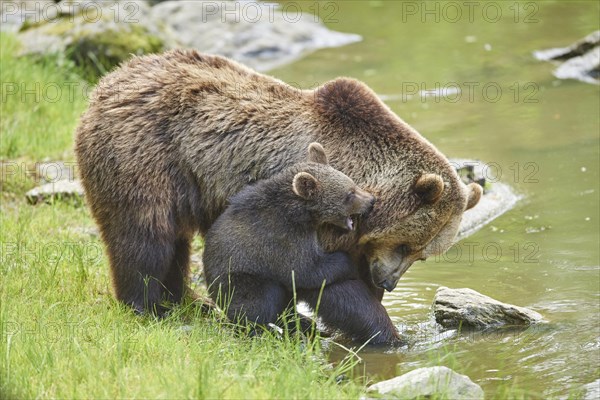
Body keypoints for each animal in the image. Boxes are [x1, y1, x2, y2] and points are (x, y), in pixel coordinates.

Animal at [75, 49, 480, 344]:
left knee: (175, 241)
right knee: (146, 236)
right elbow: (325, 281)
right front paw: (387, 334)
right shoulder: (320, 220)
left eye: (422, 254)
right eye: (407, 245)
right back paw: (146, 305)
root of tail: (109, 80)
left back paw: (187, 300)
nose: (389, 283)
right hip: (145, 158)